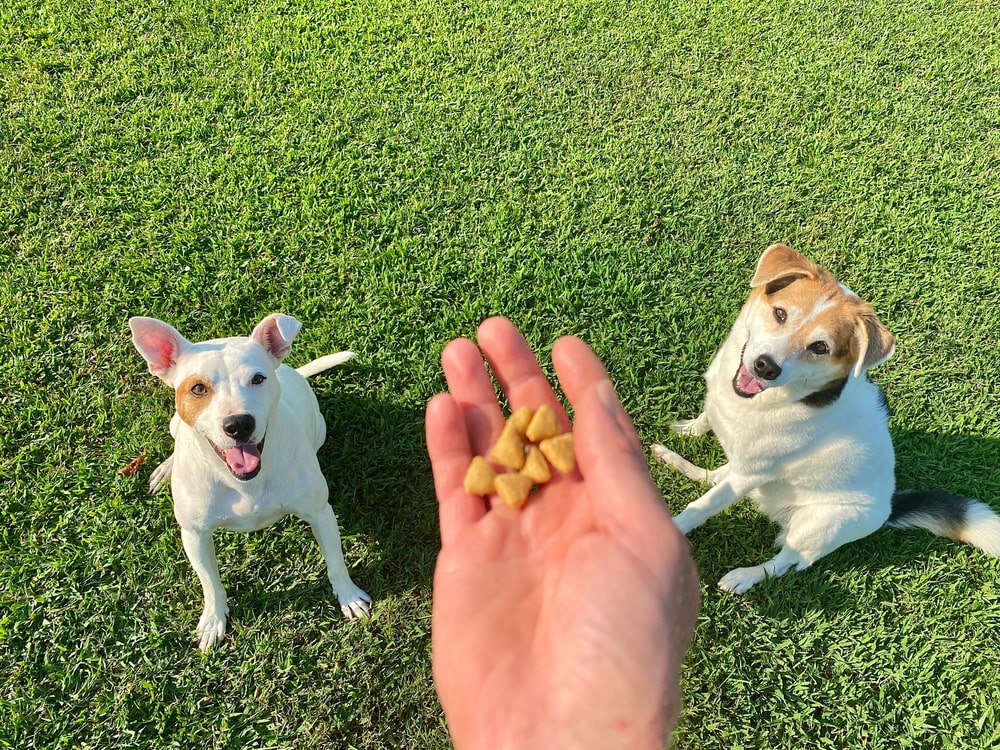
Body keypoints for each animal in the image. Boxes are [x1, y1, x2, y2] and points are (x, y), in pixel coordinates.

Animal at [129, 314, 372, 648]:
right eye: (198, 388)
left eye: (258, 379)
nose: (239, 424)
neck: (242, 482)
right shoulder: (194, 534)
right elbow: (210, 583)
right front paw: (213, 620)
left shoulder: (320, 513)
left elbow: (335, 562)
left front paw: (348, 597)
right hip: (175, 422)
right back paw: (167, 468)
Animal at [652, 245, 996, 592]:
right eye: (780, 314)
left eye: (820, 347)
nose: (766, 367)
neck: (770, 399)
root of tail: (889, 508)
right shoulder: (736, 447)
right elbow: (706, 420)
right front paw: (689, 430)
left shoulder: (751, 474)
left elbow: (701, 507)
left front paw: (672, 532)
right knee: (712, 477)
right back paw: (673, 459)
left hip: (817, 525)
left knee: (786, 563)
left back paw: (744, 577)